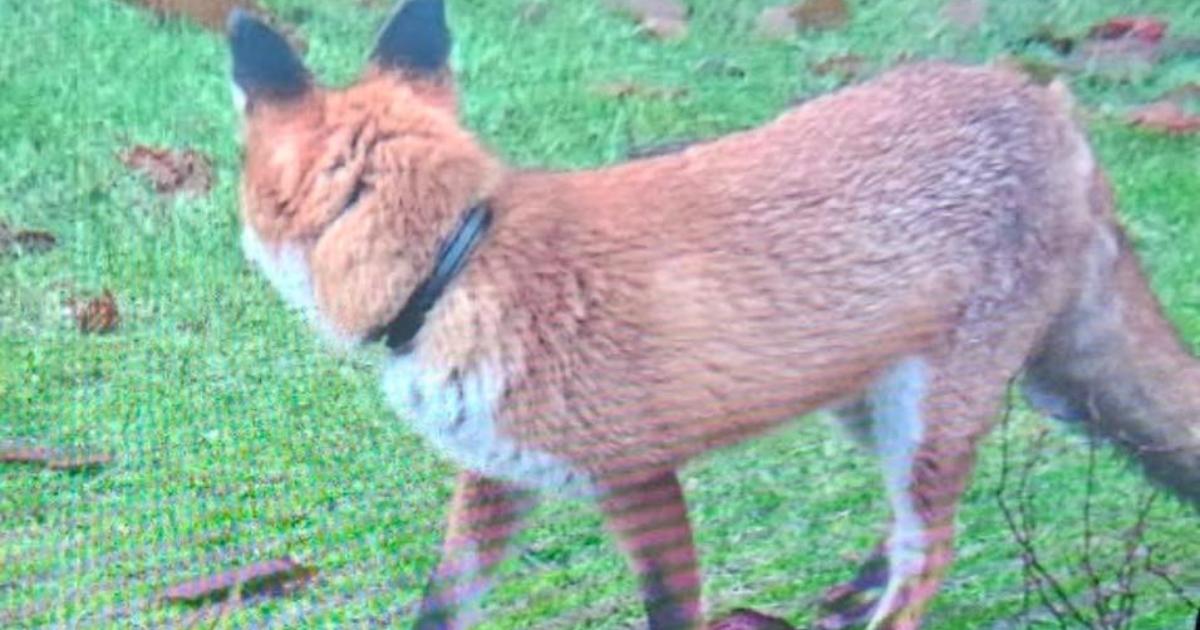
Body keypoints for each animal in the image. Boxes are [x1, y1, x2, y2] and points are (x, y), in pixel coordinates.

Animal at [224, 1, 1200, 629]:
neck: (460, 262)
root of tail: (1053, 110)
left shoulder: (640, 478)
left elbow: (670, 608)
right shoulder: (496, 474)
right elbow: (441, 603)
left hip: (926, 419)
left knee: (932, 556)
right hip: (879, 400)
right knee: (908, 530)